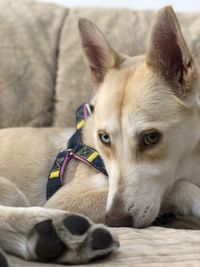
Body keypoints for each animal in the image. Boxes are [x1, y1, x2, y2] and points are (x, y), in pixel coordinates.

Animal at [0, 5, 198, 267]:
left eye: (151, 137)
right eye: (104, 138)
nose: (115, 220)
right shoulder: (64, 200)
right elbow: (176, 187)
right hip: (13, 192)